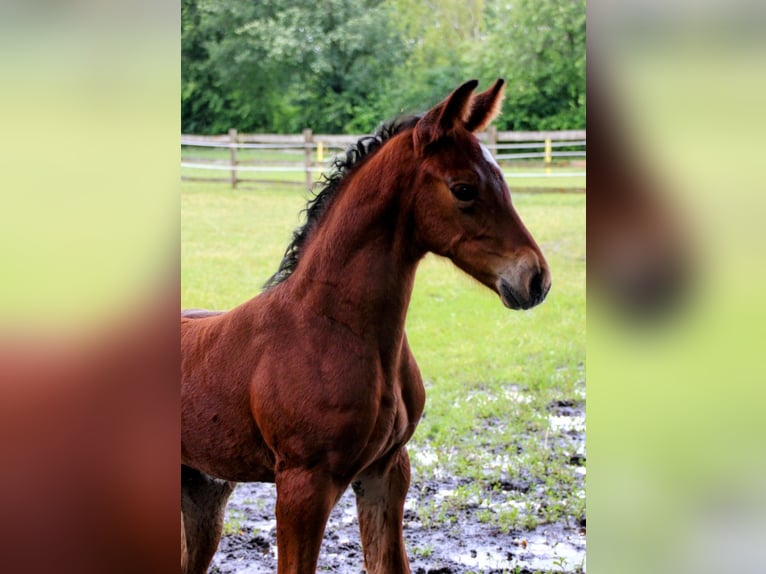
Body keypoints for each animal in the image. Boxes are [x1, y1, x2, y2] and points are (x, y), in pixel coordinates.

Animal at [180, 80, 552, 574]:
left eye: (503, 181)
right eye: (463, 188)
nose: (536, 279)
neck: (331, 327)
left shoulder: (387, 473)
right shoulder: (302, 485)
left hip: (204, 492)